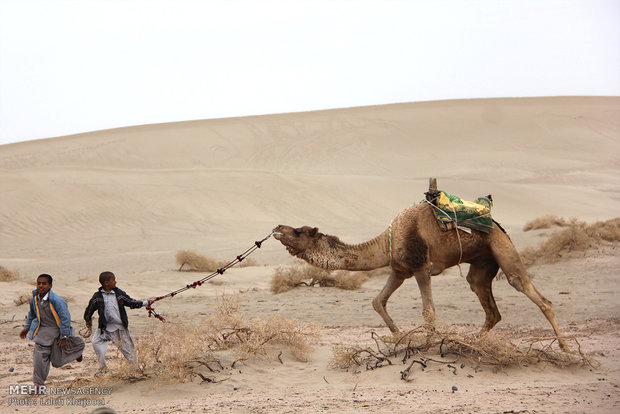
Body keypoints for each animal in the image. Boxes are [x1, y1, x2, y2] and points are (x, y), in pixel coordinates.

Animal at [274, 189, 568, 350]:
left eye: (298, 231)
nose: (277, 228)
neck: (387, 242)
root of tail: (497, 224)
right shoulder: (399, 270)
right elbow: (377, 301)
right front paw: (399, 337)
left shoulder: (421, 268)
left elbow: (428, 312)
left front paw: (428, 344)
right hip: (482, 264)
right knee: (490, 307)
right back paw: (473, 343)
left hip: (503, 249)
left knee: (533, 293)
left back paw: (565, 348)